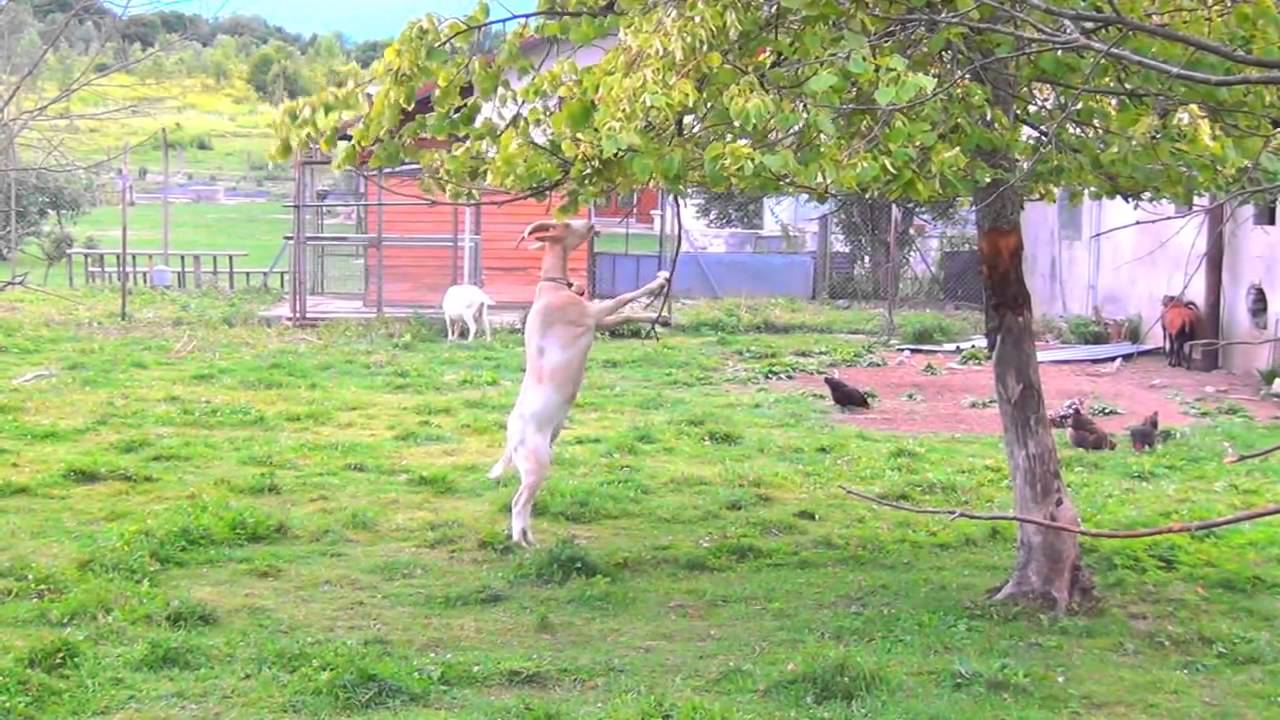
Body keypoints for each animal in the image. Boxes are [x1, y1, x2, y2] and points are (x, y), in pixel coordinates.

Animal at [488, 219, 671, 546]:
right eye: (565, 223)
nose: (592, 223)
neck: (551, 288)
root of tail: (512, 436)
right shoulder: (593, 313)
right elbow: (623, 299)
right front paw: (659, 281)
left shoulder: (600, 321)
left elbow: (625, 316)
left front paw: (660, 318)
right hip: (537, 463)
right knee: (519, 502)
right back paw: (522, 543)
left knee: (526, 503)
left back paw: (530, 539)